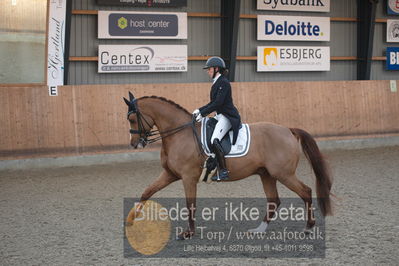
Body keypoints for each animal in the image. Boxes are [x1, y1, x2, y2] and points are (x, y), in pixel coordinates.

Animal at [123, 92, 332, 240]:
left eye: (132, 119)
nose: (134, 144)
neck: (179, 134)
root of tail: (288, 130)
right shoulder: (169, 174)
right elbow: (147, 192)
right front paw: (131, 220)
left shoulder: (188, 177)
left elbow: (190, 204)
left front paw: (188, 233)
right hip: (267, 174)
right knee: (274, 200)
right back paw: (258, 230)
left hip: (283, 174)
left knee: (305, 192)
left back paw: (308, 227)